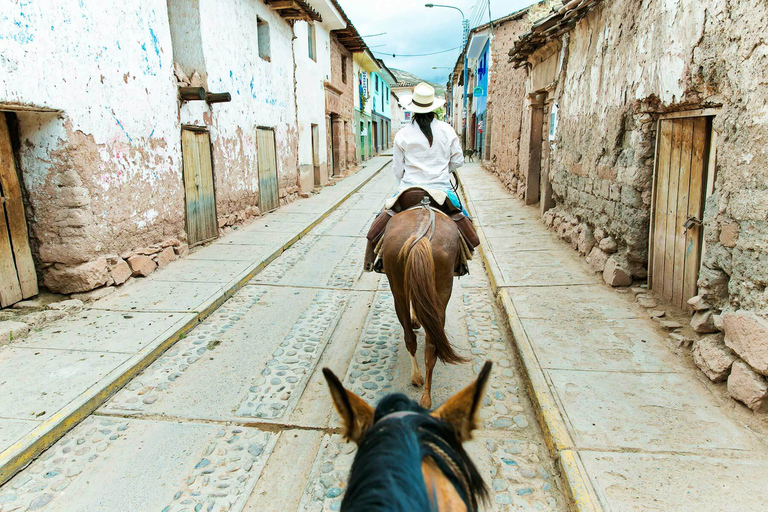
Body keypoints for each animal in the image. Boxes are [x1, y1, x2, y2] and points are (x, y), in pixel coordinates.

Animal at [380, 204, 464, 408]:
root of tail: (421, 236)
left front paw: (415, 319)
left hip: (398, 287)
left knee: (413, 338)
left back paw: (420, 384)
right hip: (442, 290)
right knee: (429, 344)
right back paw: (423, 391)